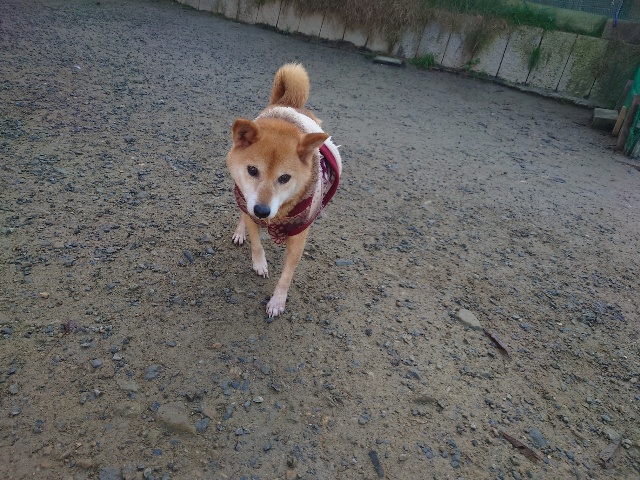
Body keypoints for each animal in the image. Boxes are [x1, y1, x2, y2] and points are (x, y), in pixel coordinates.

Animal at [226, 63, 342, 317]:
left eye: (285, 178)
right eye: (252, 170)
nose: (261, 211)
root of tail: (289, 103)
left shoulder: (299, 236)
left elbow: (287, 276)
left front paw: (277, 301)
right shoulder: (250, 207)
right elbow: (256, 243)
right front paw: (260, 264)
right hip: (243, 194)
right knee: (241, 212)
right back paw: (240, 232)